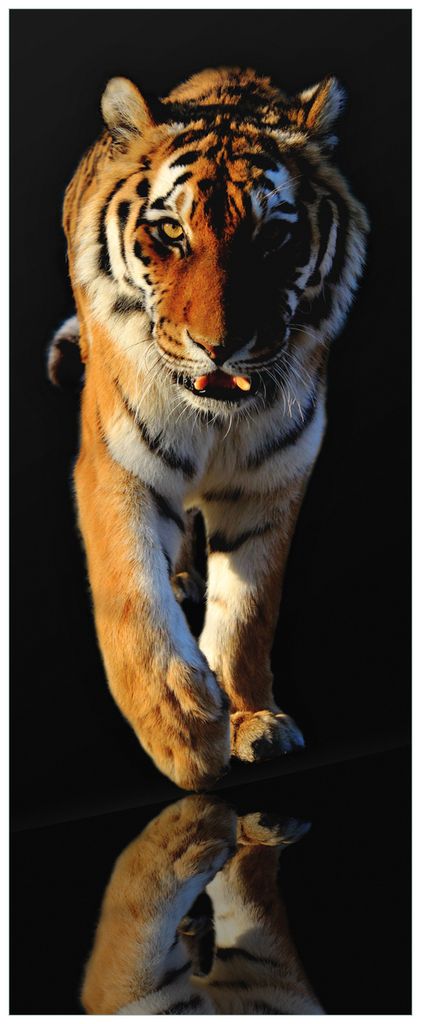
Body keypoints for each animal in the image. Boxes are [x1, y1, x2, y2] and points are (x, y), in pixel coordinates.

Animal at [51, 66, 369, 791]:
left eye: (272, 236)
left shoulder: (272, 477)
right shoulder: (118, 464)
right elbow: (130, 596)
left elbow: (249, 609)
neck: (218, 421)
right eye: (171, 232)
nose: (218, 347)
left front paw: (252, 719)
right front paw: (183, 731)